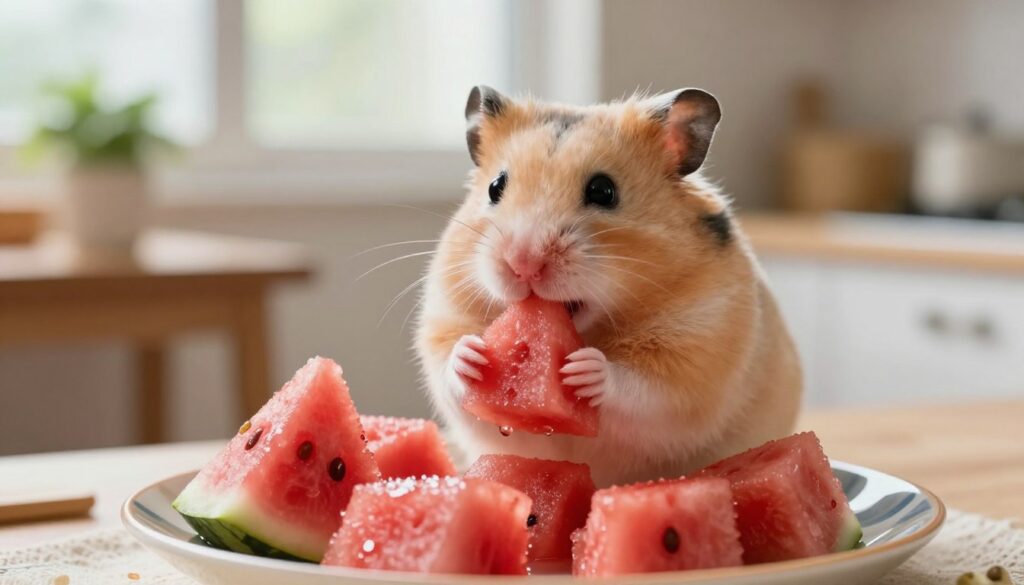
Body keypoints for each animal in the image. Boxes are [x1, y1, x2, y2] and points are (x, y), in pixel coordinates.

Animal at [415, 86, 802, 487]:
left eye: (604, 191)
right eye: (495, 187)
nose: (523, 263)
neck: (593, 329)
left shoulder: (696, 351)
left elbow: (642, 388)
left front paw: (583, 370)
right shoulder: (444, 317)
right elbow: (450, 370)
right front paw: (471, 355)